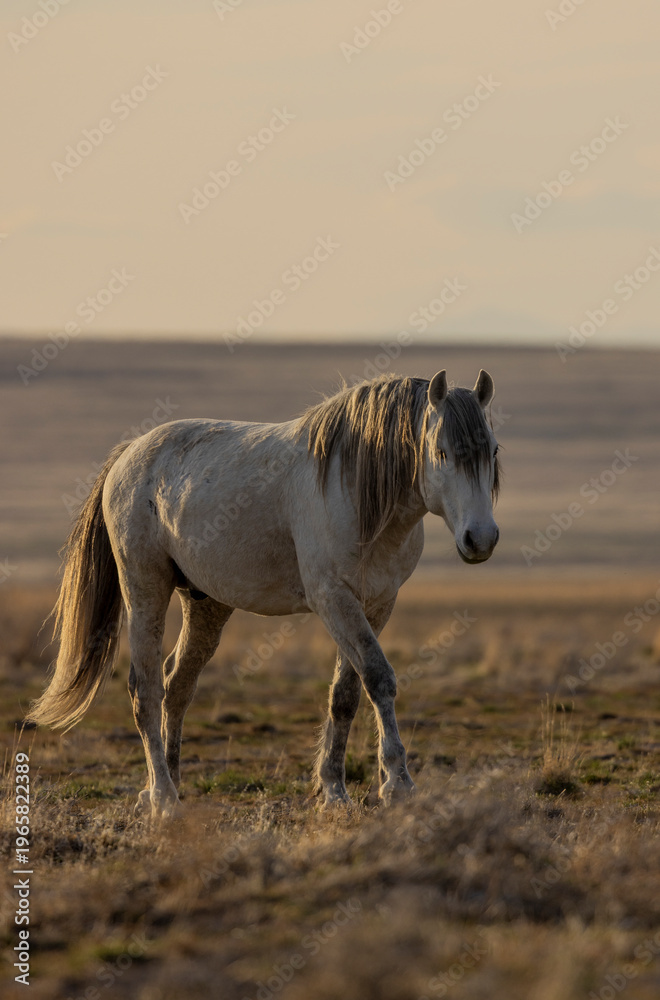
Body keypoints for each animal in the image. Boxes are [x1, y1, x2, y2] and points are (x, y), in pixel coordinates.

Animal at [28, 369, 501, 818]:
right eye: (441, 452)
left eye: (492, 451)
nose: (481, 539)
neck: (354, 490)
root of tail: (129, 453)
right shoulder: (333, 600)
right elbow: (378, 678)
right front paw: (398, 785)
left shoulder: (377, 604)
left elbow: (345, 694)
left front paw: (334, 791)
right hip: (144, 589)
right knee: (146, 690)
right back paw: (163, 798)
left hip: (207, 605)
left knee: (177, 685)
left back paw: (169, 787)